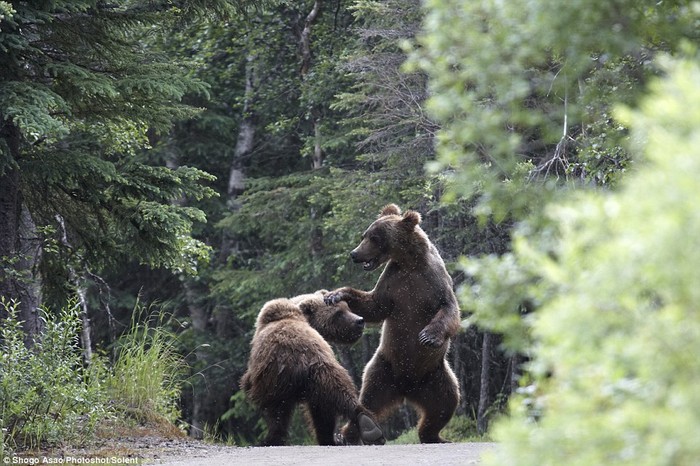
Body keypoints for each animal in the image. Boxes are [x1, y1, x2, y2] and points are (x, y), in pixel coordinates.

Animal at [239, 290, 382, 446]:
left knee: (278, 411)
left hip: (277, 379)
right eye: (338, 313)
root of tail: (301, 356)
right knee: (334, 396)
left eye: (347, 308)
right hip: (323, 371)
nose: (359, 320)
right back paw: (363, 427)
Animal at [326, 205, 462, 444]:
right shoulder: (393, 283)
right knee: (368, 400)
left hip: (435, 376)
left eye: (374, 237)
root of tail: (407, 388)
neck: (410, 263)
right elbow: (374, 305)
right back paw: (351, 435)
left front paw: (428, 336)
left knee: (444, 405)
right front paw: (335, 295)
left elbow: (449, 310)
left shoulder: (433, 282)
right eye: (364, 235)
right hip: (383, 370)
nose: (354, 254)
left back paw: (434, 436)